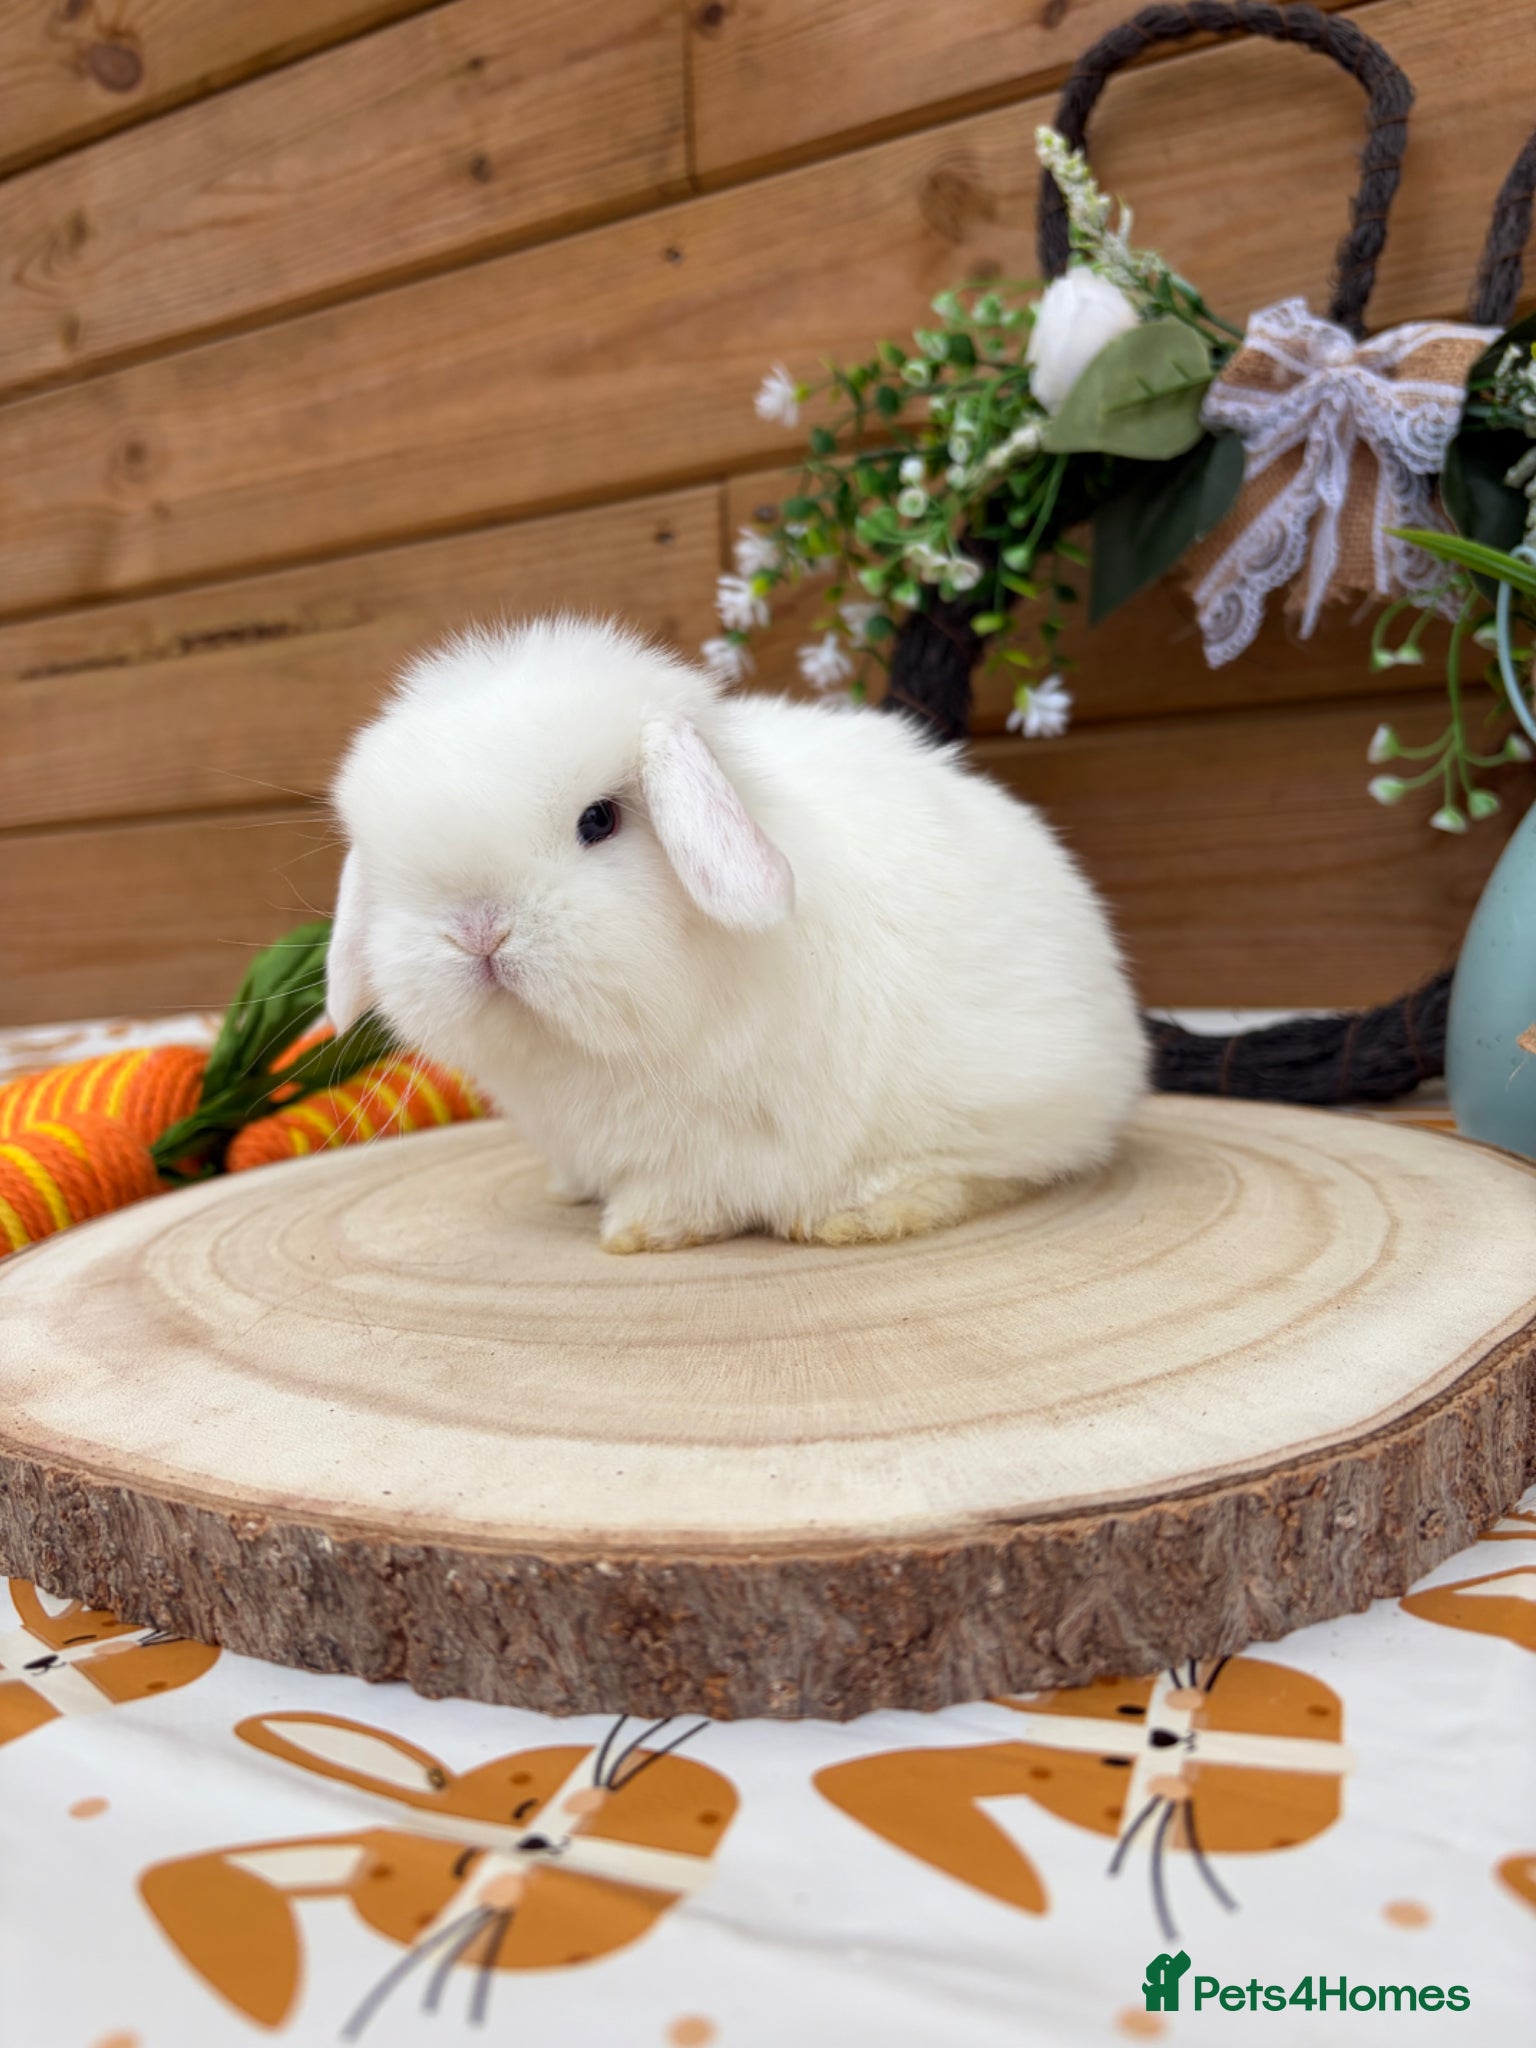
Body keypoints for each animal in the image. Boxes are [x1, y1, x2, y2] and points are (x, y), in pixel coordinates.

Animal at [326, 616, 1147, 1253]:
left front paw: (634, 1231)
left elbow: (686, 1194)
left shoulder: (716, 1145)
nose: (478, 931)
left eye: (599, 820)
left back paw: (863, 1213)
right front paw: (569, 1191)